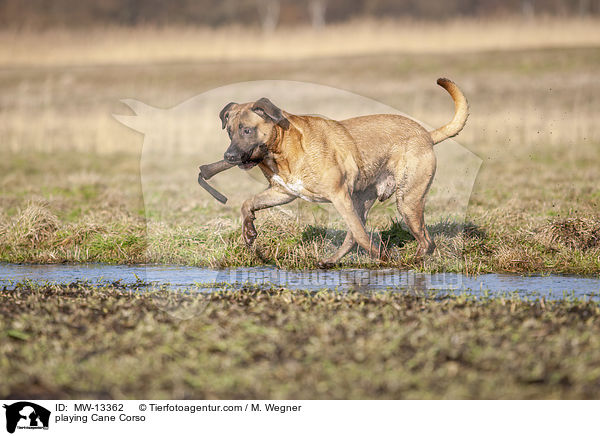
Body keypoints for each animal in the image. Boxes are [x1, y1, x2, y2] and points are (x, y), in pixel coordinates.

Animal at [220, 78, 468, 266]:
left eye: (247, 130)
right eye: (229, 132)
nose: (229, 157)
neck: (282, 147)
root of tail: (426, 135)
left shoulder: (339, 195)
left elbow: (360, 233)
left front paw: (382, 255)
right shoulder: (284, 192)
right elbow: (248, 203)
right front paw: (249, 231)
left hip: (406, 201)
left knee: (425, 242)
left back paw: (410, 262)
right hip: (364, 200)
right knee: (354, 237)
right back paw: (330, 261)